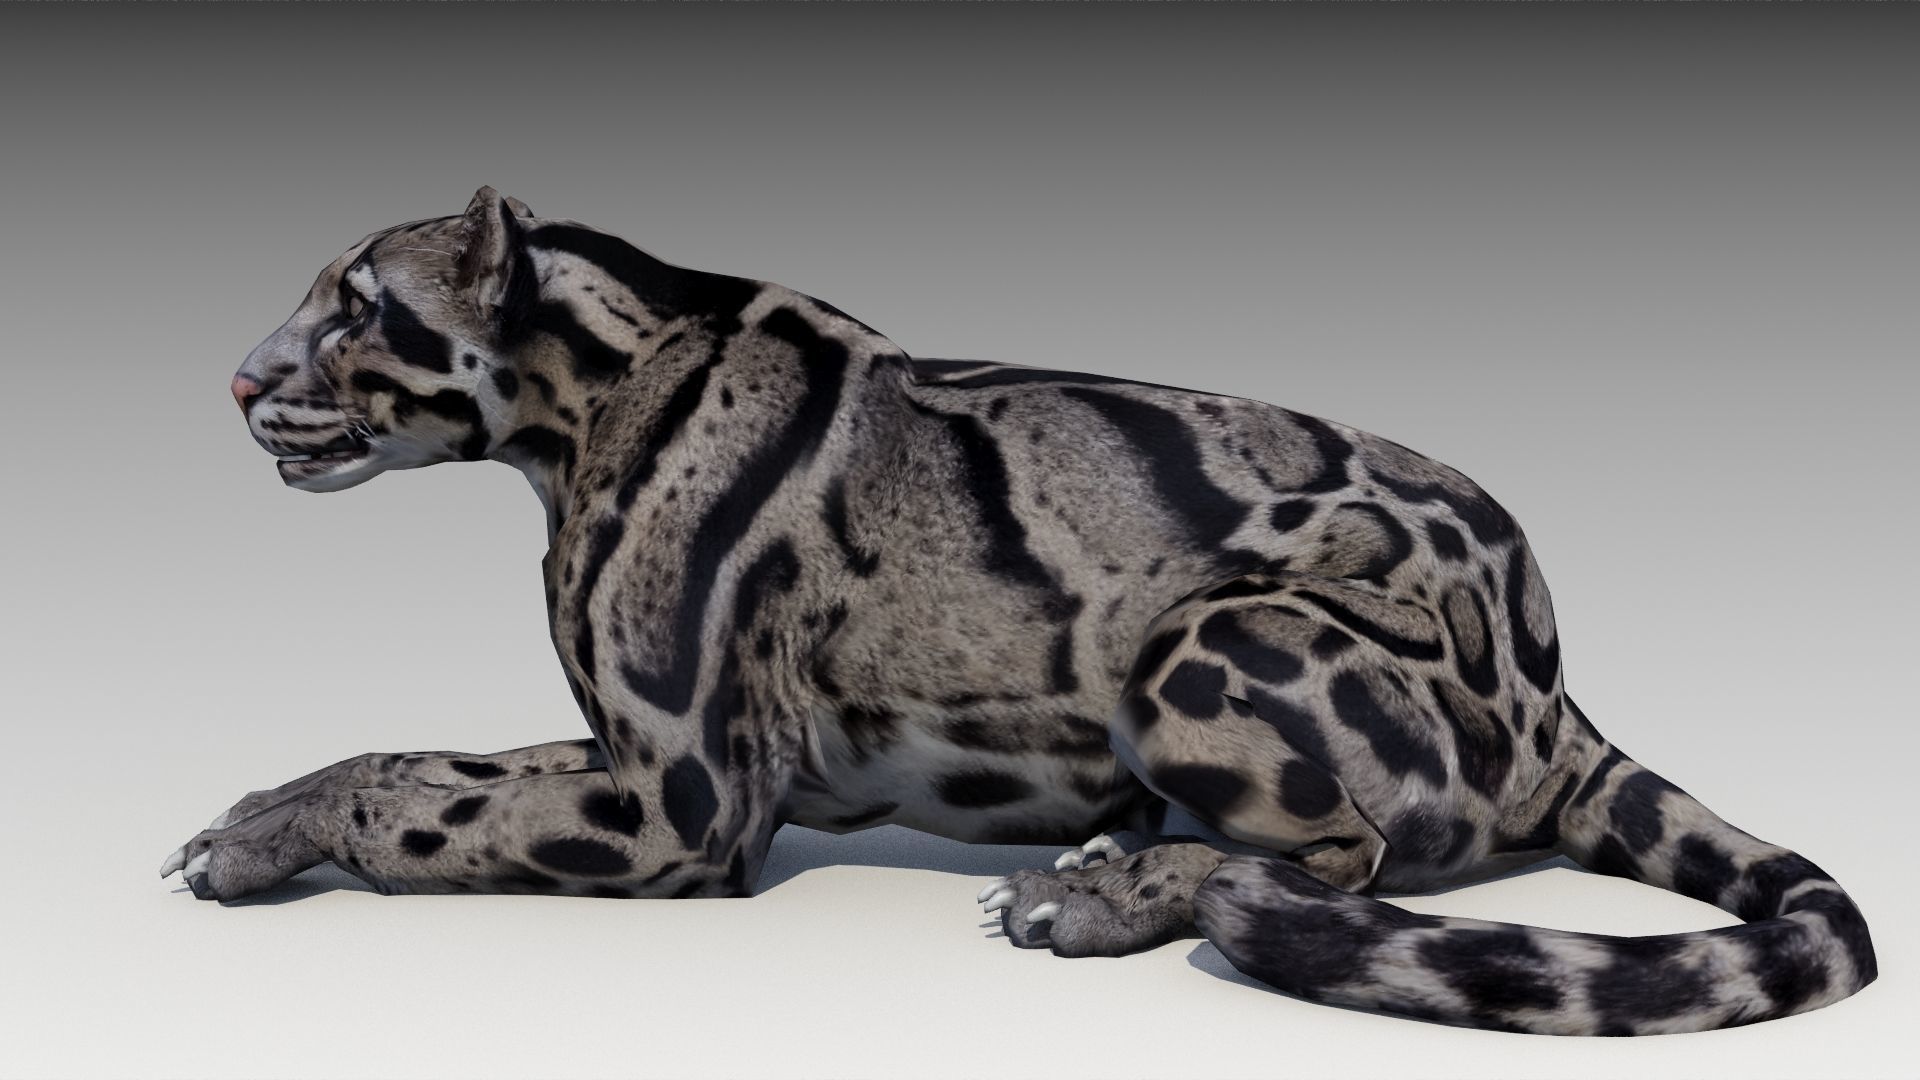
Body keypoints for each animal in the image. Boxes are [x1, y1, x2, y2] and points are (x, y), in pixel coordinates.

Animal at [162, 186, 1876, 1035]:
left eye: (353, 311)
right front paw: (249, 822)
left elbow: (419, 799)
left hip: (1207, 643)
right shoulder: (634, 752)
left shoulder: (684, 798)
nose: (236, 382)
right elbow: (416, 756)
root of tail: (1559, 684)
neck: (570, 409)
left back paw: (1103, 893)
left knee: (1338, 856)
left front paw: (268, 840)